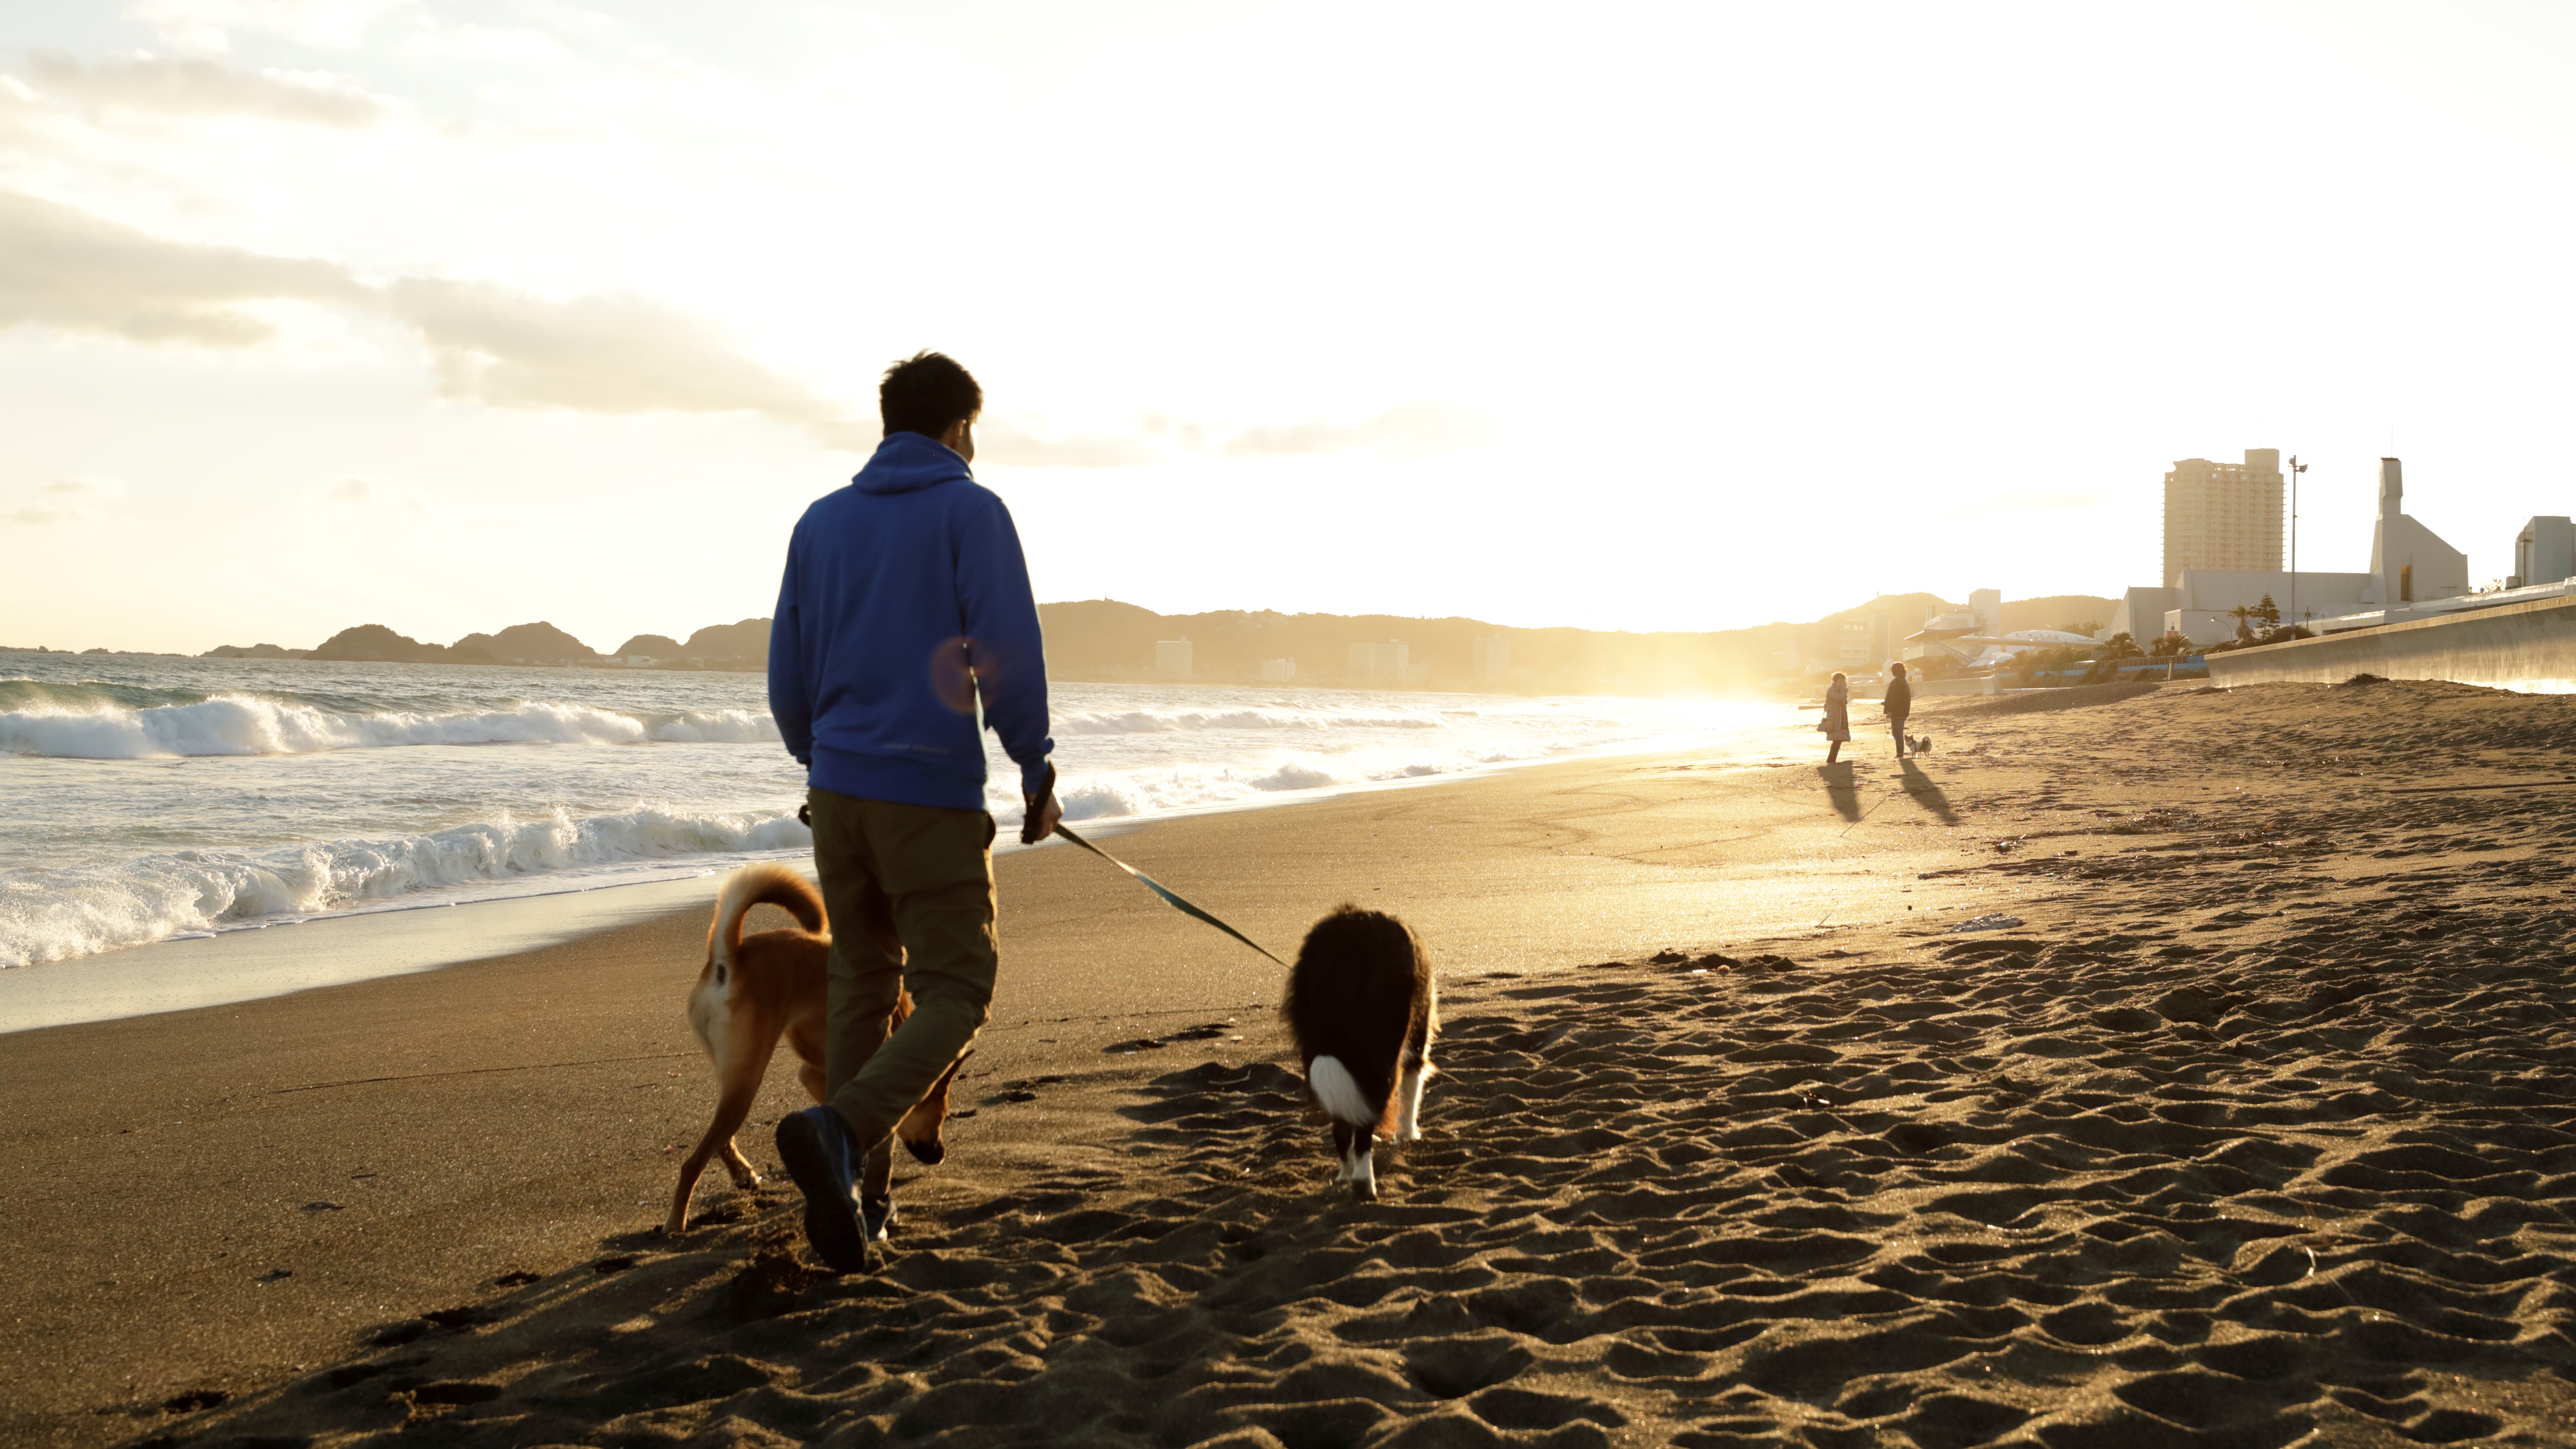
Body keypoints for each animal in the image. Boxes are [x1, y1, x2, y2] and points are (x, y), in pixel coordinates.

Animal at [1283, 906, 1442, 1204]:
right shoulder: (1416, 1039)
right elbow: (1412, 1092)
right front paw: (1408, 1134)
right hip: (1382, 1052)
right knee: (1365, 1124)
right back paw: (1364, 1181)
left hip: (1315, 1045)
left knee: (1341, 1126)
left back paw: (1345, 1176)